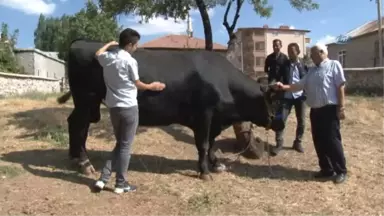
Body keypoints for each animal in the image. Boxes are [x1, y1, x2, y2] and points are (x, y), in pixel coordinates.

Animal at [57, 38, 284, 181]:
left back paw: (75, 157)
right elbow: (203, 144)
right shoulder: (205, 115)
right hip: (86, 100)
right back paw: (84, 163)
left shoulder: (214, 120)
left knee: (74, 123)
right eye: (274, 101)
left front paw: (216, 164)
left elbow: (211, 144)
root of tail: (81, 42)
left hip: (87, 104)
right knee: (79, 126)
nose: (280, 123)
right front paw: (204, 171)